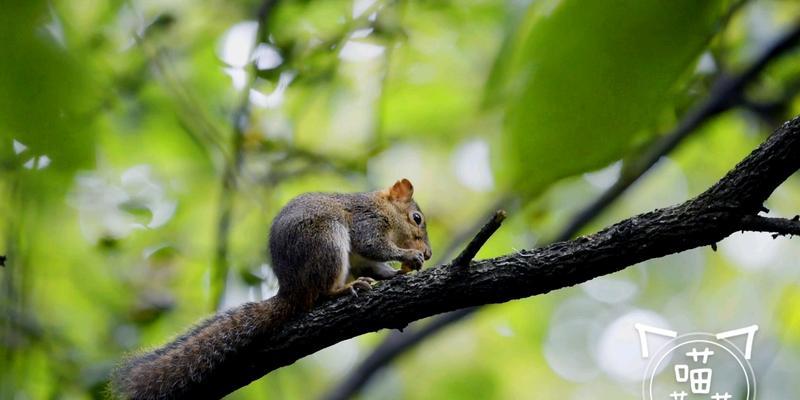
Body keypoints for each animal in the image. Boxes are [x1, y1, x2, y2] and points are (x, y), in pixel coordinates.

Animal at [111, 179, 432, 400]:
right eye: (417, 219)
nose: (428, 253)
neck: (383, 207)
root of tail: (291, 291)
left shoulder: (363, 258)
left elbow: (373, 264)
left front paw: (395, 273)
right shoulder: (368, 221)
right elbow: (373, 245)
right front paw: (407, 256)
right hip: (326, 241)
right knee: (320, 293)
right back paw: (342, 290)